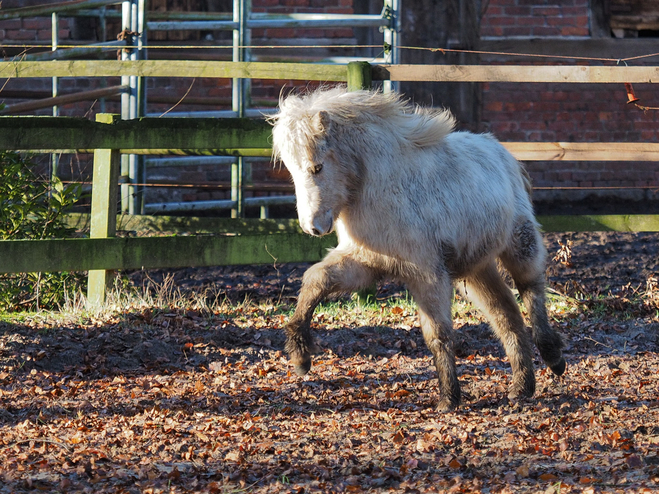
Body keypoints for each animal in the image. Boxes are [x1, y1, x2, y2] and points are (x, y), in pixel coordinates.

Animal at [270, 87, 564, 412]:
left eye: (317, 167)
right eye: (292, 170)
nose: (313, 227)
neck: (378, 187)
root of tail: (503, 154)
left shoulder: (427, 275)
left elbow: (438, 334)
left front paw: (448, 399)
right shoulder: (364, 263)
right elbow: (315, 279)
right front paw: (300, 356)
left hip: (519, 244)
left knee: (531, 291)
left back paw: (553, 358)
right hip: (475, 271)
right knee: (506, 315)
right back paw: (521, 387)